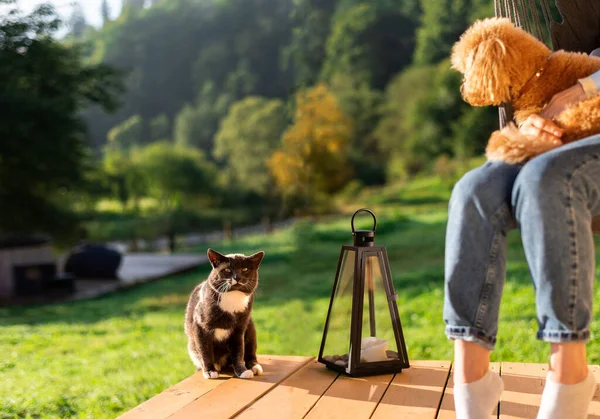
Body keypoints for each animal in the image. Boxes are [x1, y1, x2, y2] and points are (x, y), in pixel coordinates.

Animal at [185, 249, 264, 380]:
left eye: (245, 269)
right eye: (227, 270)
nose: (237, 277)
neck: (232, 297)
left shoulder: (239, 329)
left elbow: (238, 351)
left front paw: (242, 371)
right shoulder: (200, 327)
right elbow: (205, 350)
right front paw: (209, 371)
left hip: (250, 326)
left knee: (250, 351)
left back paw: (254, 366)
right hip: (191, 346)